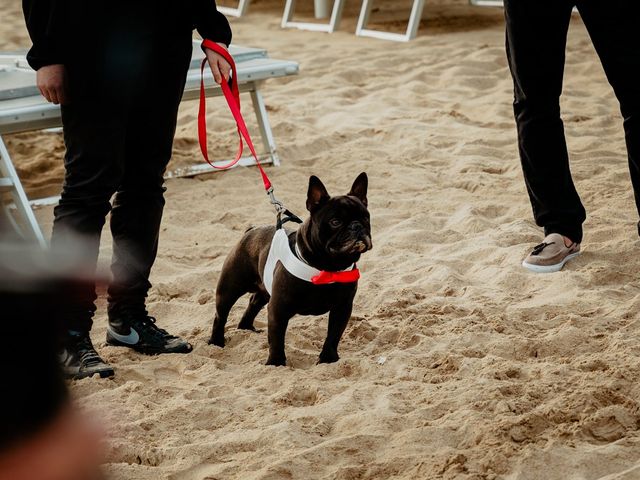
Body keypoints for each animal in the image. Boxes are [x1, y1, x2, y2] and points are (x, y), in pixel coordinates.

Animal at [208, 174, 372, 366]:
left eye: (366, 218)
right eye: (335, 222)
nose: (357, 226)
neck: (327, 267)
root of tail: (251, 230)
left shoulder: (342, 308)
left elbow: (333, 336)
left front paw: (328, 360)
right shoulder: (278, 308)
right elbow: (277, 338)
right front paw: (276, 363)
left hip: (264, 290)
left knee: (253, 303)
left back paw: (246, 328)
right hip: (230, 288)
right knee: (221, 315)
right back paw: (216, 342)